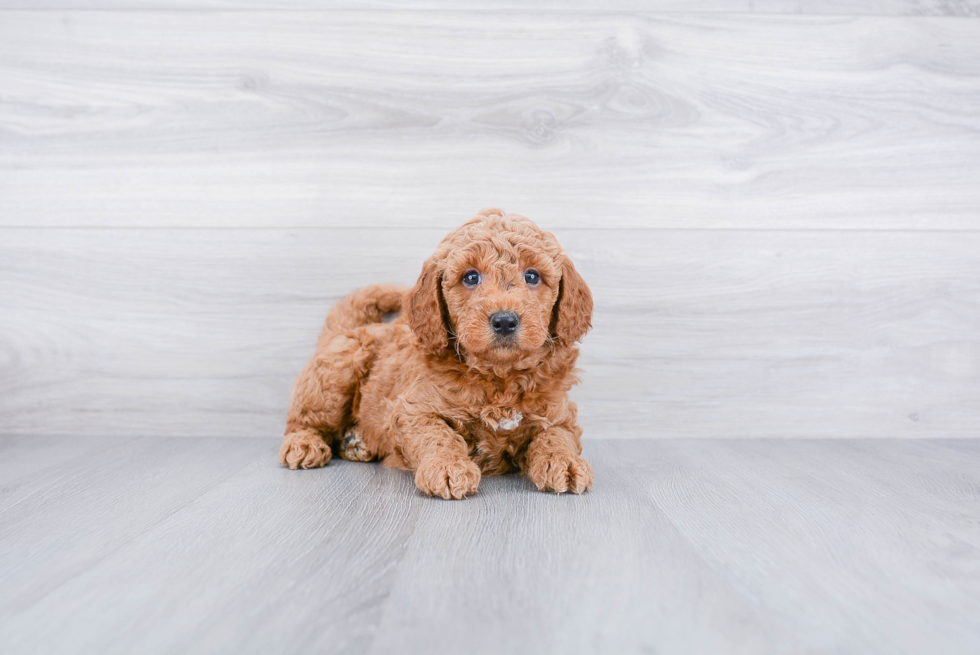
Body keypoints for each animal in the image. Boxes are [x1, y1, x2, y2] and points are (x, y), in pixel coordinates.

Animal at [280, 208, 592, 500]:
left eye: (532, 276)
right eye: (471, 277)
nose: (504, 320)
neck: (499, 378)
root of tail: (349, 329)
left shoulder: (560, 414)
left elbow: (555, 436)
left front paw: (565, 462)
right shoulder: (413, 410)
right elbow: (437, 434)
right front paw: (448, 467)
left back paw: (356, 443)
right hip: (335, 375)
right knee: (303, 419)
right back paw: (304, 443)